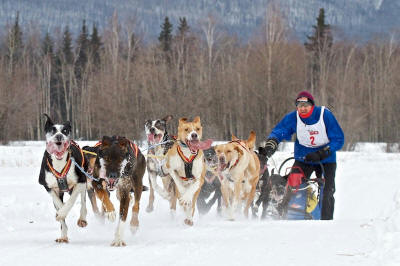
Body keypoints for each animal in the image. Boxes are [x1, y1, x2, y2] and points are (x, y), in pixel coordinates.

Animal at [38, 114, 88, 243]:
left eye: (65, 131)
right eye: (52, 130)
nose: (59, 135)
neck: (59, 163)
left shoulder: (80, 181)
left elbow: (71, 201)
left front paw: (62, 212)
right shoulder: (49, 187)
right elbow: (58, 203)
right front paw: (60, 213)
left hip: (84, 181)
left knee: (83, 201)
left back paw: (82, 219)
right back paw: (63, 236)